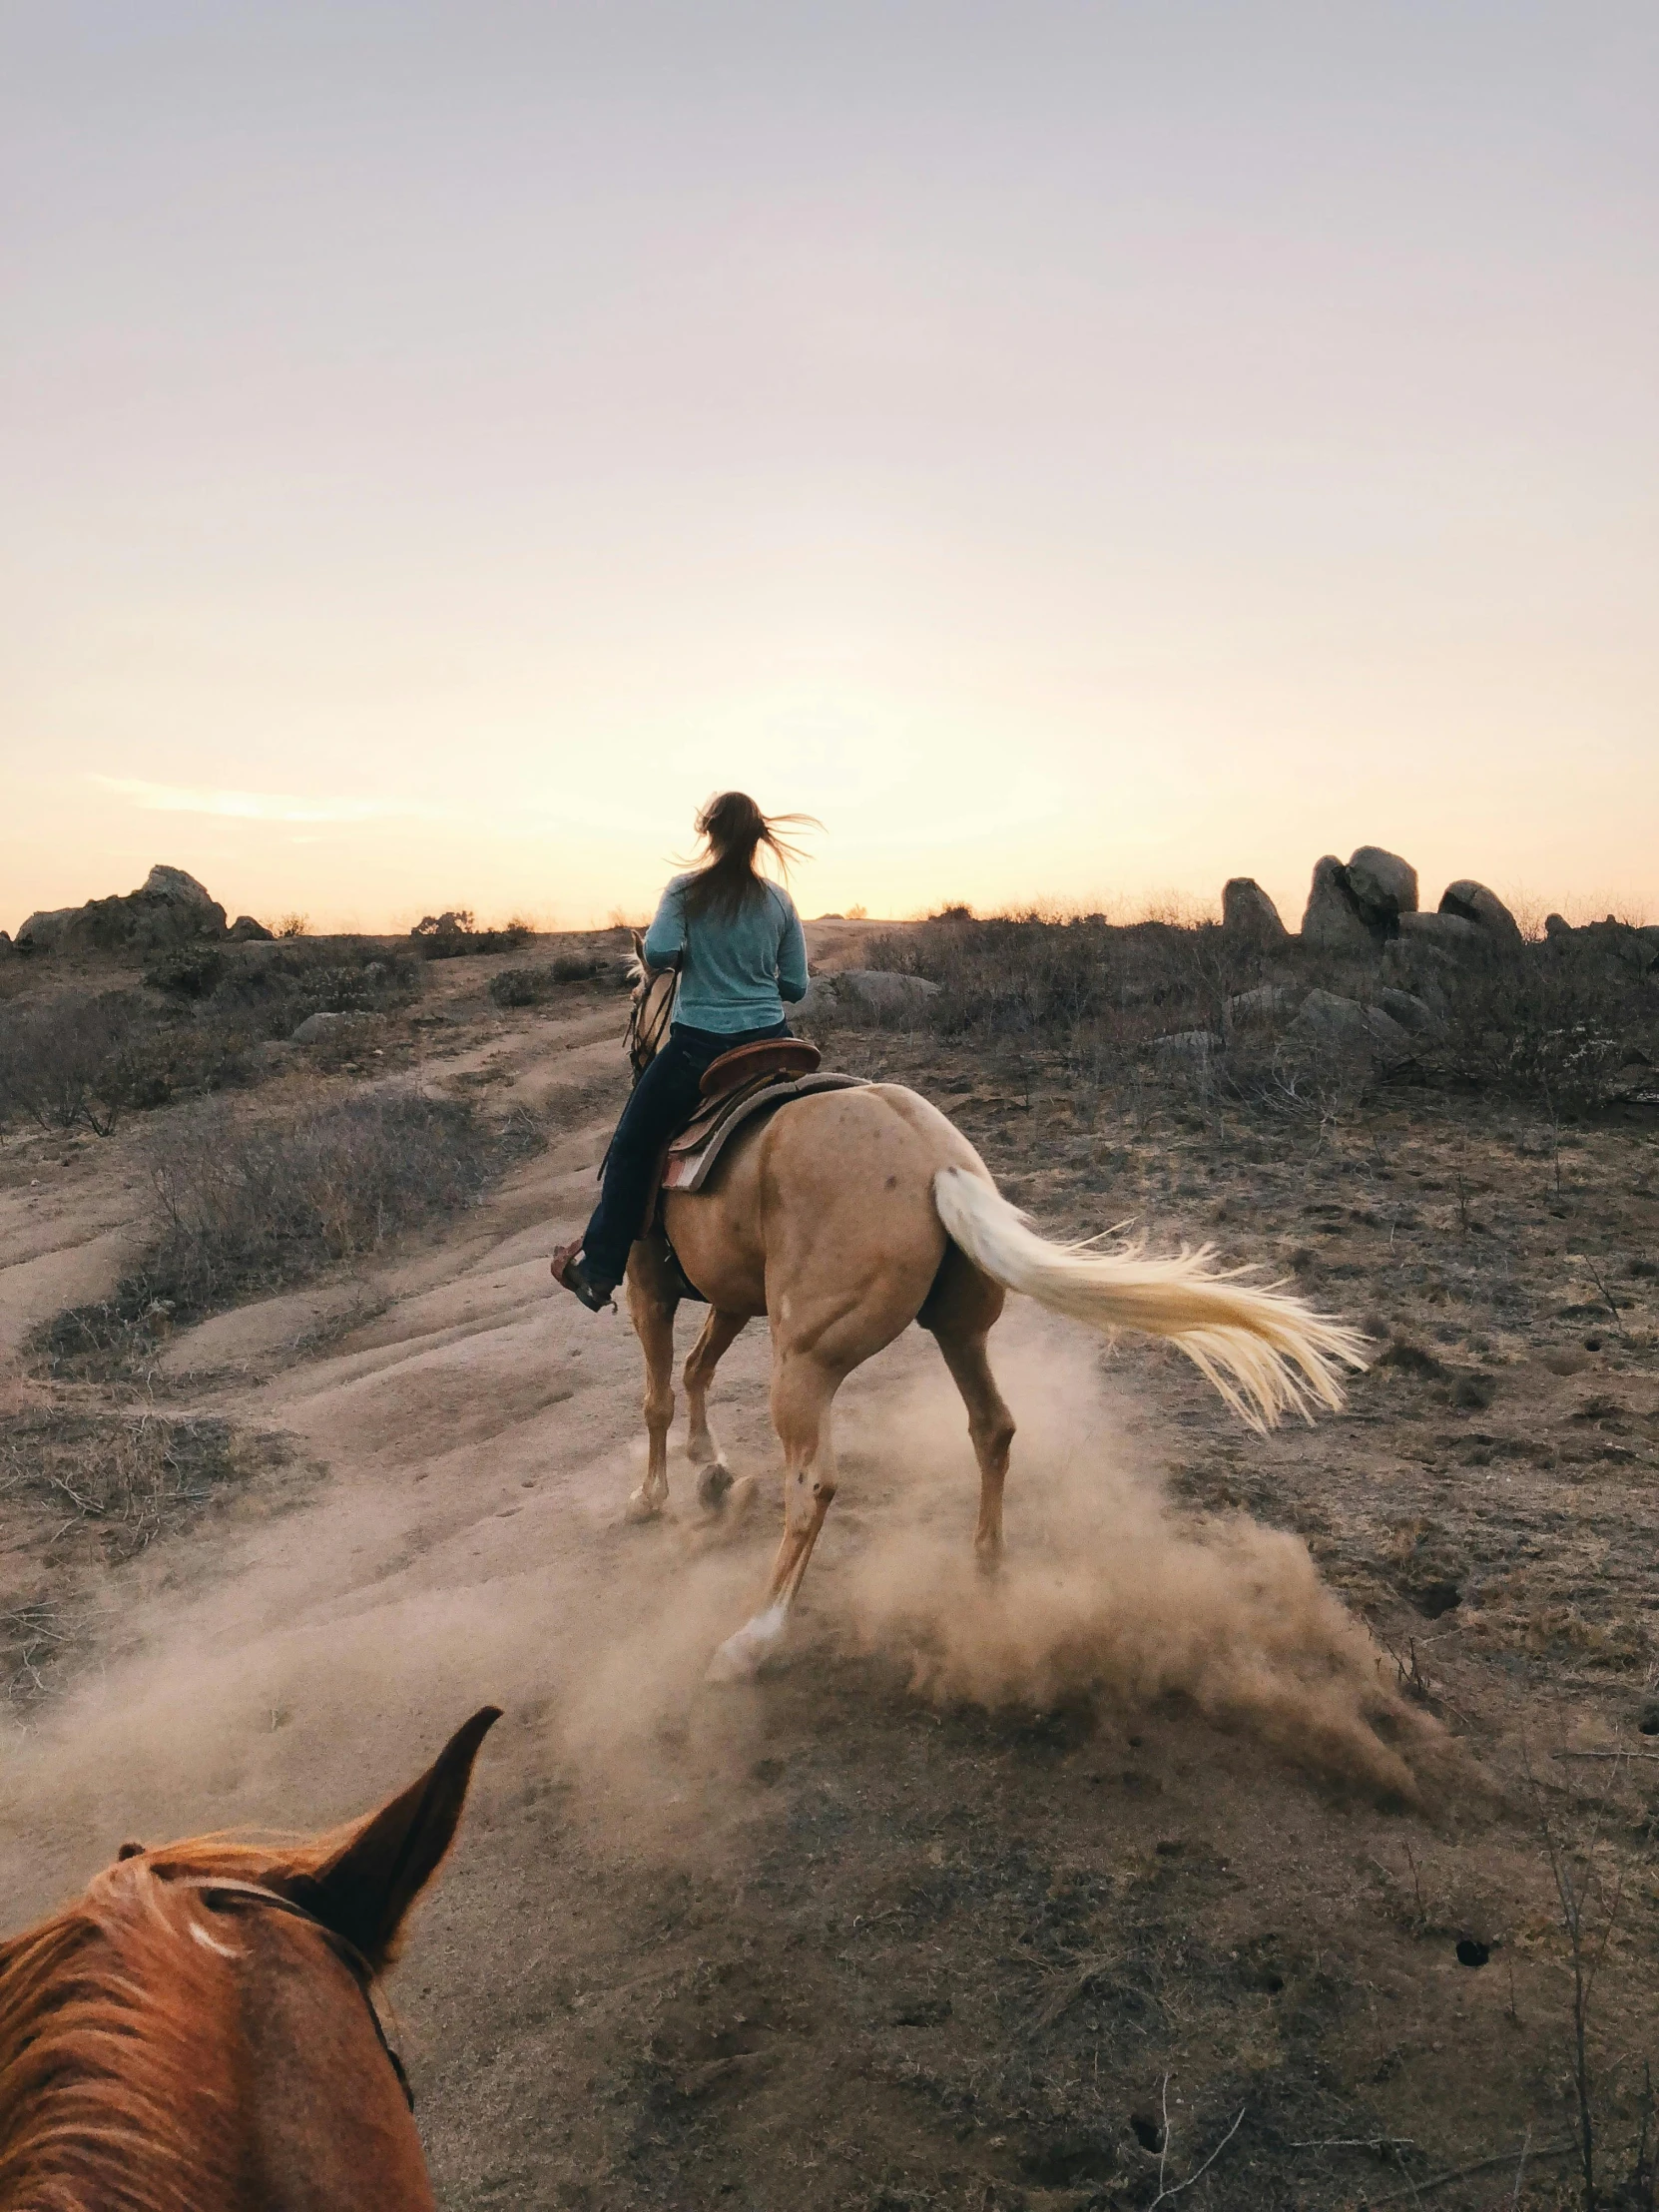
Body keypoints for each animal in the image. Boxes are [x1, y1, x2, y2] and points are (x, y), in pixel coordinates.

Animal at [619, 955, 1371, 1672]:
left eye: (635, 994)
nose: (635, 1048)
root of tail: (936, 1162)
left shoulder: (645, 1282)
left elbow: (658, 1395)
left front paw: (652, 1494)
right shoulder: (728, 1295)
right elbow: (697, 1368)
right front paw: (710, 1470)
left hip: (806, 1360)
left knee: (813, 1485)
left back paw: (755, 1636)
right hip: (960, 1330)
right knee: (993, 1429)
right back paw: (987, 1567)